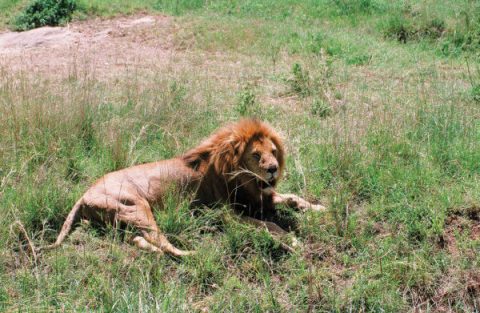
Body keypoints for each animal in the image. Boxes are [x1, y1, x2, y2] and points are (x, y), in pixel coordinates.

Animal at [42, 119, 326, 256]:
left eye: (274, 152)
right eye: (256, 155)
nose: (273, 169)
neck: (245, 179)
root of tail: (83, 195)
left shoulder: (261, 196)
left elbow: (292, 198)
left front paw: (319, 208)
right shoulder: (226, 213)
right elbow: (268, 225)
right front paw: (290, 239)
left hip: (121, 221)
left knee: (139, 240)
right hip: (137, 207)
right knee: (165, 244)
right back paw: (197, 250)